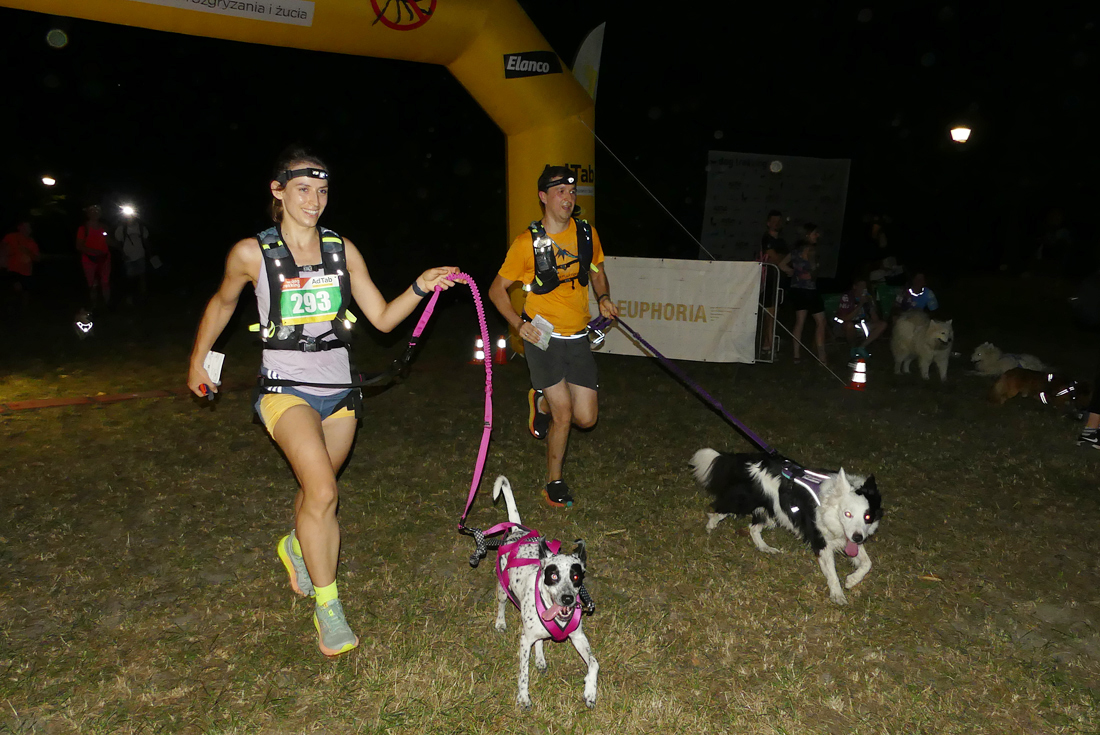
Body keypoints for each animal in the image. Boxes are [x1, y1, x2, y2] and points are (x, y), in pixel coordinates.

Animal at [491, 476, 598, 710]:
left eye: (576, 577)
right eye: (554, 575)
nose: (567, 598)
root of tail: (518, 531)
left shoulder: (578, 637)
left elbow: (594, 663)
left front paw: (590, 690)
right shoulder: (524, 641)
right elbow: (523, 673)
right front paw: (523, 697)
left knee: (540, 640)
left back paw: (540, 659)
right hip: (503, 589)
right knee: (501, 605)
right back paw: (500, 622)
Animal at [691, 450, 883, 605]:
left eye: (867, 517)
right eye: (847, 514)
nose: (858, 538)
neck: (829, 506)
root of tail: (746, 459)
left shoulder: (850, 538)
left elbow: (867, 563)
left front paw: (852, 580)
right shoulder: (820, 541)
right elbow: (833, 573)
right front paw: (837, 594)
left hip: (772, 511)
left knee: (753, 528)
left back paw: (765, 548)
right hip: (744, 502)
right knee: (720, 509)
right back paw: (710, 525)